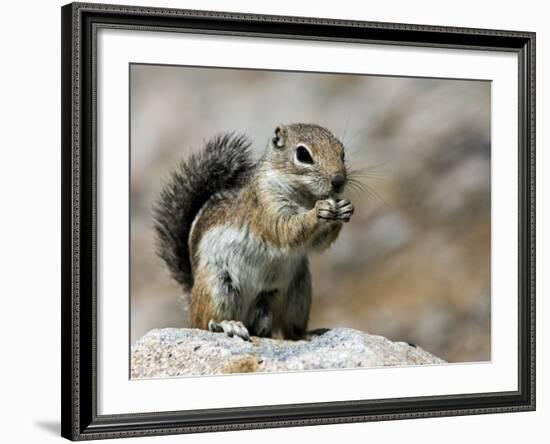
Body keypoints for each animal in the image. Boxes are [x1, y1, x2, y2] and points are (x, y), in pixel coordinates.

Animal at [153, 123, 356, 342]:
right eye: (303, 154)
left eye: (342, 153)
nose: (338, 180)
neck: (304, 196)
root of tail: (191, 298)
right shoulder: (266, 206)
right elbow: (286, 230)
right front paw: (319, 211)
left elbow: (318, 244)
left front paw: (344, 208)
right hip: (218, 286)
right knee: (205, 323)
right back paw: (228, 325)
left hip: (297, 293)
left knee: (289, 330)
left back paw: (305, 334)